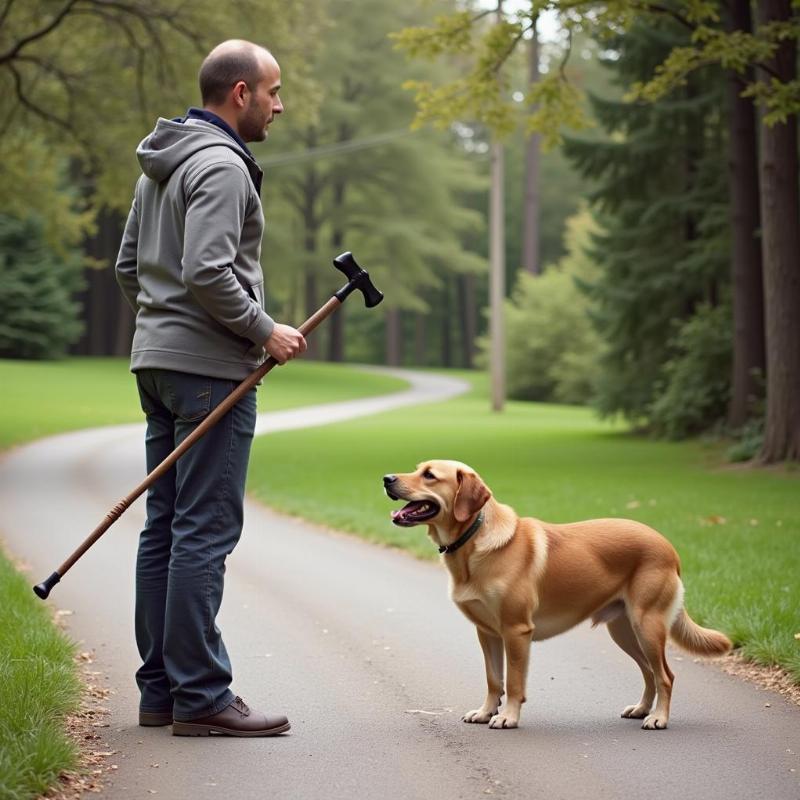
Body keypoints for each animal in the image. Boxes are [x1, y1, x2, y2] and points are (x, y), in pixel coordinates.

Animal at [382, 462, 732, 732]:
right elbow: (494, 679)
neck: (474, 540)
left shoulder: (517, 631)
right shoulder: (487, 633)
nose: (386, 478)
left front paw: (508, 717)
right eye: (417, 468)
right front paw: (485, 712)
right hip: (624, 631)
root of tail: (669, 546)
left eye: (429, 475)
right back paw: (642, 709)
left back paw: (659, 718)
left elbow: (514, 682)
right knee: (649, 673)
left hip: (648, 626)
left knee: (665, 676)